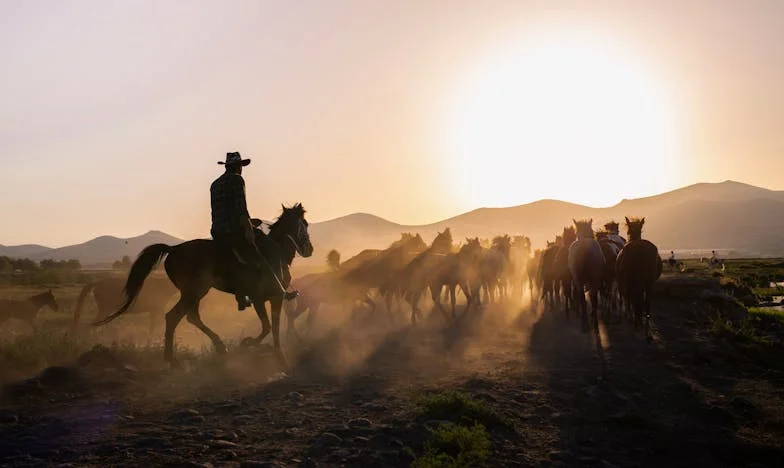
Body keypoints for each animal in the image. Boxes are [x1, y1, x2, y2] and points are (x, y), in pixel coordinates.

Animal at [93, 202, 310, 370]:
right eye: (304, 224)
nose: (309, 249)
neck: (277, 250)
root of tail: (173, 249)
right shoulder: (265, 298)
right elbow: (268, 328)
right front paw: (253, 346)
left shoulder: (270, 299)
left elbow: (272, 328)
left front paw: (274, 355)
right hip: (195, 291)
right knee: (175, 317)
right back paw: (174, 360)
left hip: (194, 293)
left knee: (190, 317)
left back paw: (216, 347)